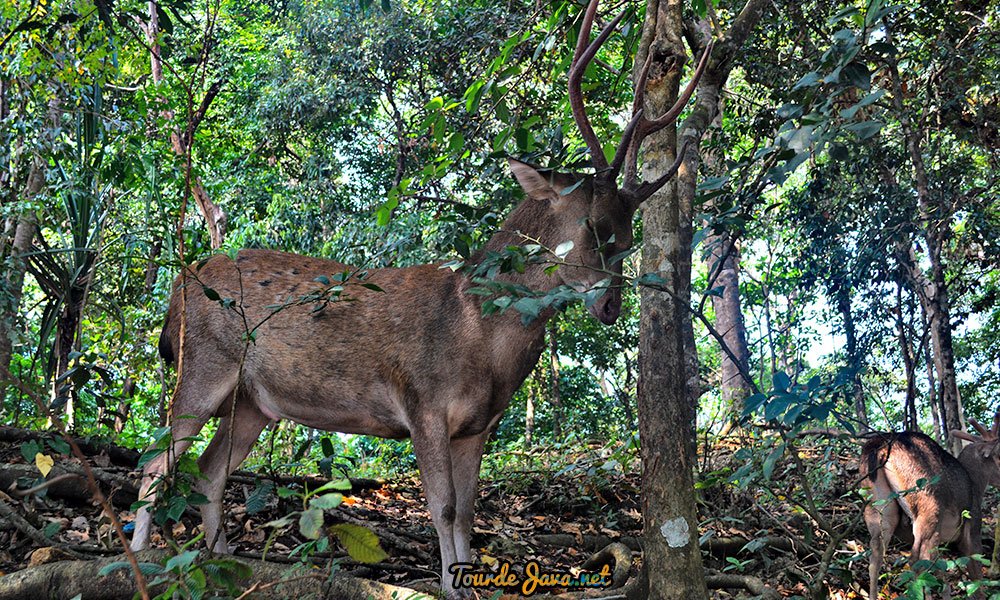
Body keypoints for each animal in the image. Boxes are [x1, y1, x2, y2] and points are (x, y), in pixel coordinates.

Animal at [131, 0, 712, 592]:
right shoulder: (422, 402)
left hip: (255, 400)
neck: (479, 335)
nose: (611, 305)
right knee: (155, 464)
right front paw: (450, 587)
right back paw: (140, 559)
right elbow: (444, 509)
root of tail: (179, 288)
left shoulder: (479, 424)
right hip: (204, 360)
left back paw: (219, 560)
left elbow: (469, 516)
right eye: (593, 226)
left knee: (208, 472)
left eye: (631, 235)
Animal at [860, 418, 1000, 600]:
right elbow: (977, 580)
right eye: (999, 455)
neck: (976, 486)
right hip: (928, 507)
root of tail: (880, 446)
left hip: (877, 507)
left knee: (875, 556)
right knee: (917, 560)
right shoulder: (973, 528)